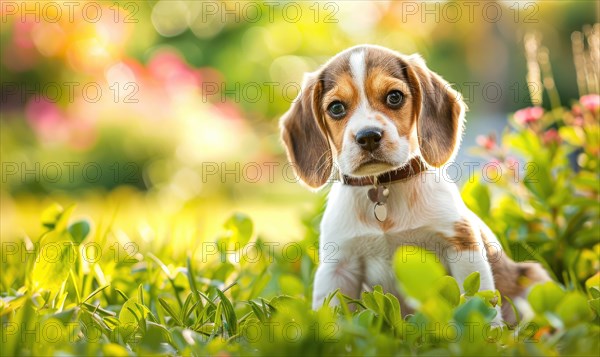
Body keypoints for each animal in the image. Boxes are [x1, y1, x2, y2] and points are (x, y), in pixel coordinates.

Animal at [278, 43, 552, 322]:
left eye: (394, 97)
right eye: (336, 108)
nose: (368, 136)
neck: (382, 187)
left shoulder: (462, 246)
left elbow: (478, 301)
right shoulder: (338, 267)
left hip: (533, 277)